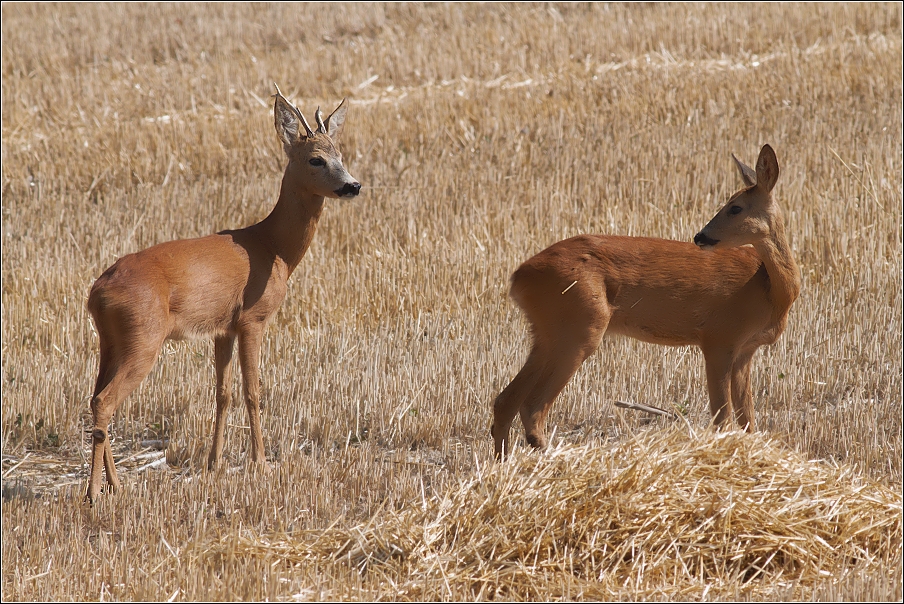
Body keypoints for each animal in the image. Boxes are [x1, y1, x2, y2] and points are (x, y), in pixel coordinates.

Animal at [85, 85, 360, 500]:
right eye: (316, 159)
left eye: (340, 155)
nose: (352, 185)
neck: (273, 247)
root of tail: (97, 291)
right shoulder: (252, 319)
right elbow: (253, 391)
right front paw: (261, 464)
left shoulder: (222, 328)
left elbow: (222, 393)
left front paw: (214, 463)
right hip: (143, 336)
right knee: (105, 401)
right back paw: (94, 493)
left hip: (110, 341)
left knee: (95, 397)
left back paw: (115, 485)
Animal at [494, 145, 800, 458]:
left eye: (735, 207)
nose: (700, 236)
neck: (769, 289)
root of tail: (518, 277)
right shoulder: (718, 338)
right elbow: (723, 419)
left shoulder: (745, 350)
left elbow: (747, 418)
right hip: (580, 325)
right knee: (532, 407)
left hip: (547, 332)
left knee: (504, 401)